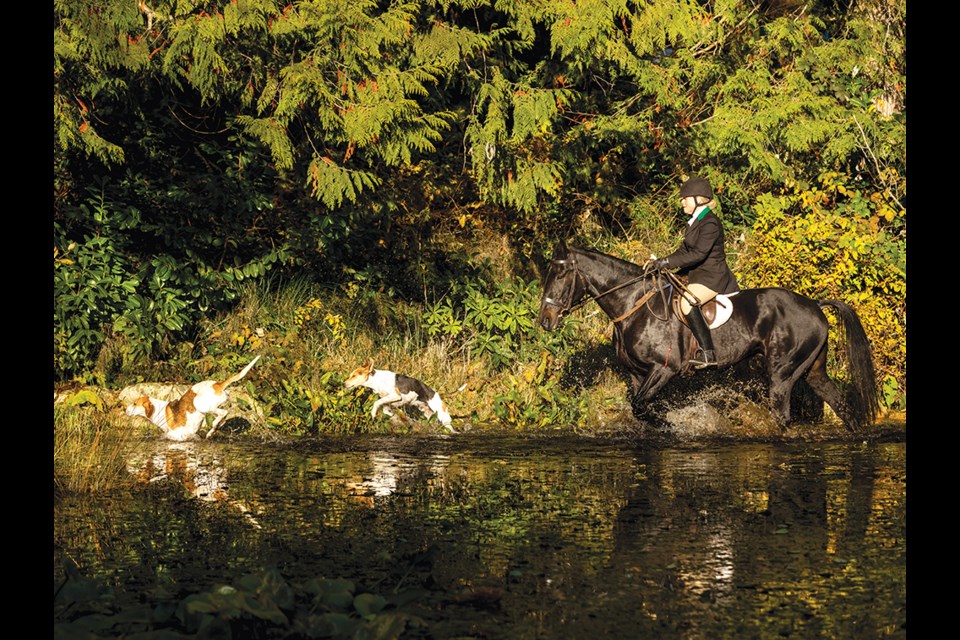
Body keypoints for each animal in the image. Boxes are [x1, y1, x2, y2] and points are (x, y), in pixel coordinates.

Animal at [536, 242, 880, 432]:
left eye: (561, 274)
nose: (545, 321)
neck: (634, 304)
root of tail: (815, 305)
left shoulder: (664, 368)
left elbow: (642, 407)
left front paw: (674, 426)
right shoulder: (636, 373)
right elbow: (639, 407)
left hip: (782, 373)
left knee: (782, 415)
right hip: (813, 369)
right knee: (841, 405)